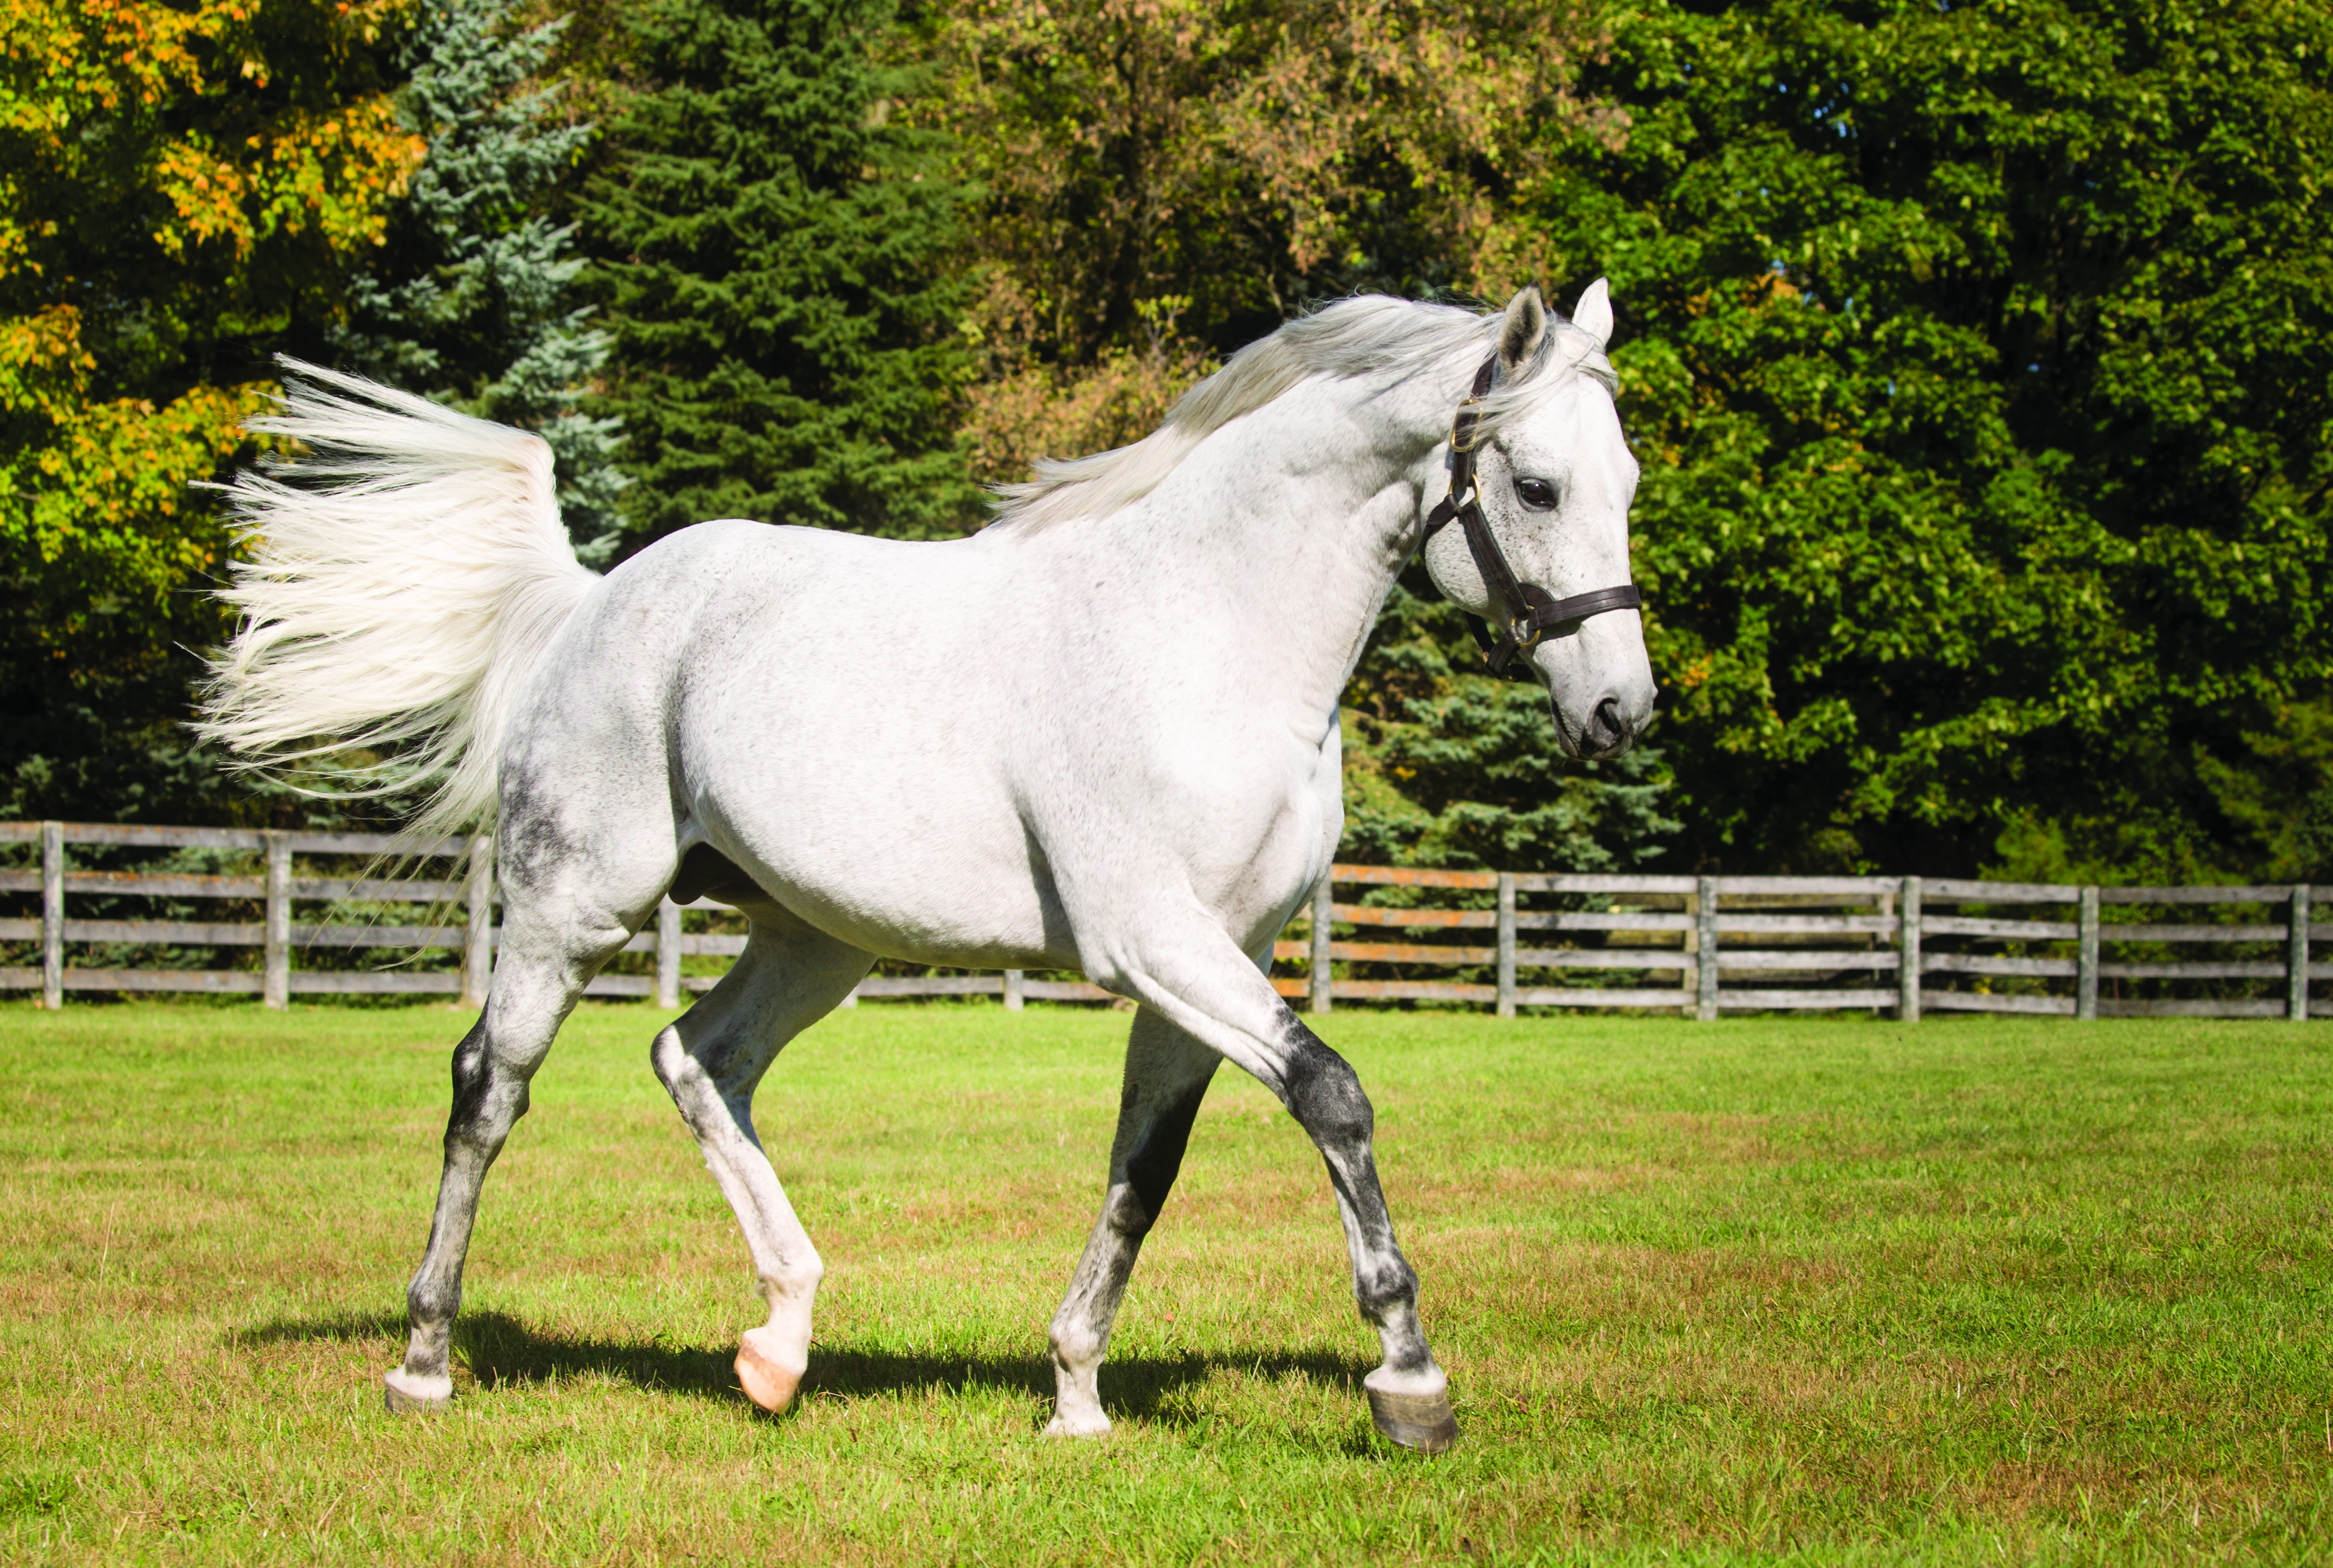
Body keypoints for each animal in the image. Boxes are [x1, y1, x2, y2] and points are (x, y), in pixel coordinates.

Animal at [200, 282, 1656, 1453]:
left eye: (1629, 483)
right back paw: (425, 1363)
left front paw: (1075, 1398)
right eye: (1536, 486)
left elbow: (1144, 1171)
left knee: (698, 1059)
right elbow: (1334, 1098)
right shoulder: (1156, 941)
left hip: (816, 933)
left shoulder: (1214, 961)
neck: (1205, 636)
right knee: (487, 1091)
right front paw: (1410, 1381)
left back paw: (779, 1346)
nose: (1620, 712)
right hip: (574, 906)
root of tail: (594, 600)